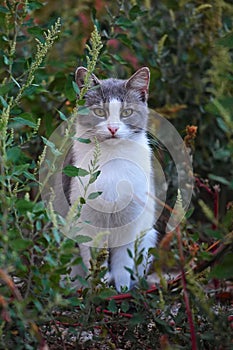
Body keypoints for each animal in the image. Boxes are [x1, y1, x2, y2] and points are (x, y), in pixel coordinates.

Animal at [62, 66, 157, 292]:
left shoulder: (131, 220)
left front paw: (121, 290)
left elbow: (124, 263)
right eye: (99, 112)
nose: (113, 128)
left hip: (148, 237)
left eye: (127, 112)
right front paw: (98, 290)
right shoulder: (87, 221)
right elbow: (94, 259)